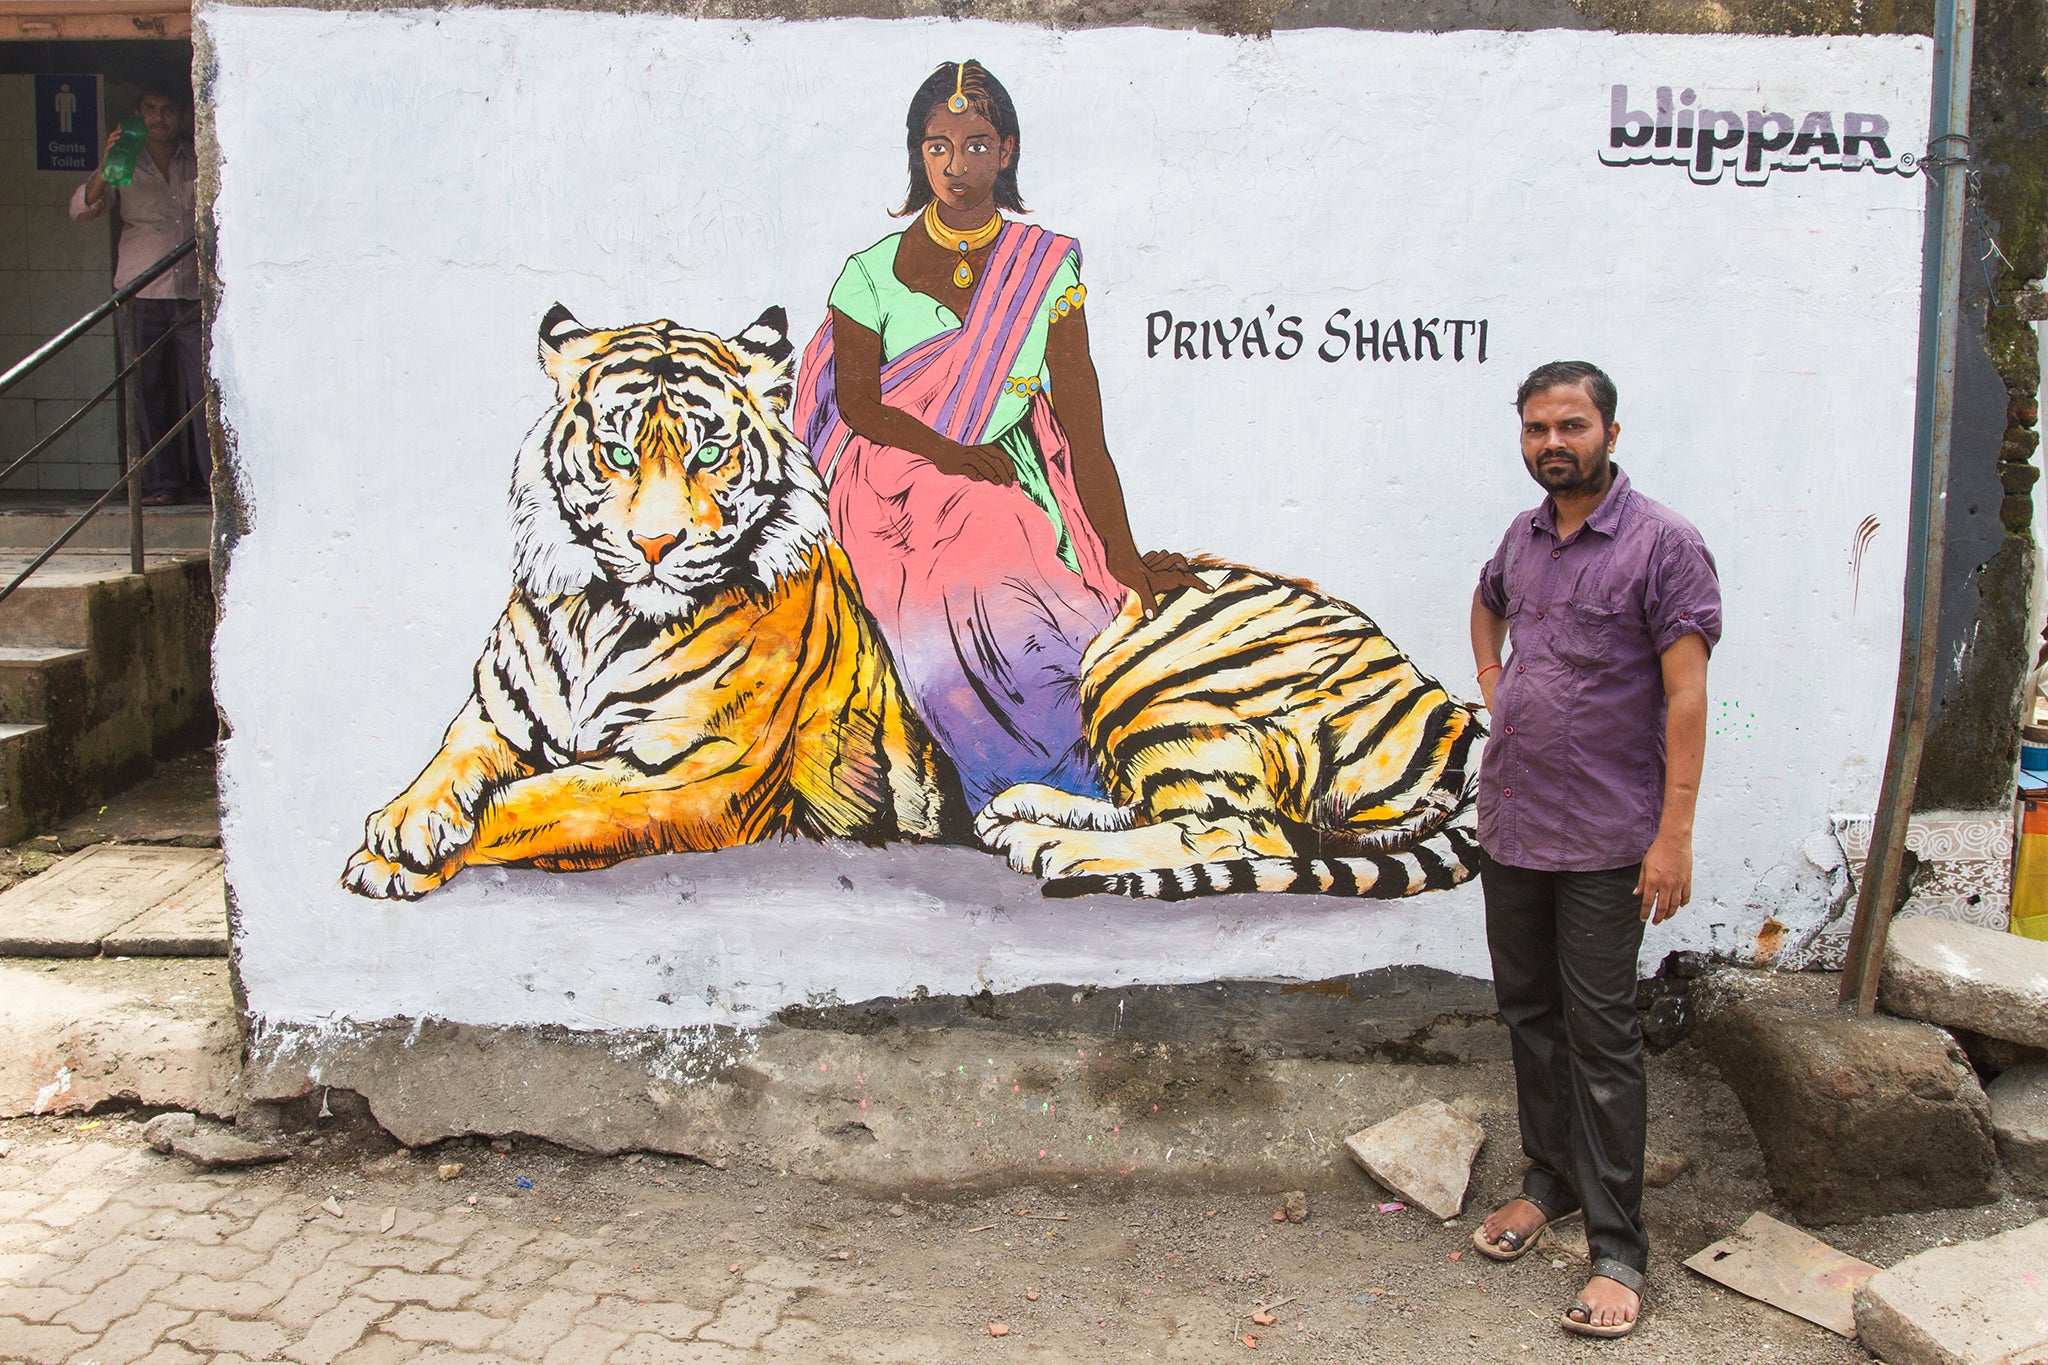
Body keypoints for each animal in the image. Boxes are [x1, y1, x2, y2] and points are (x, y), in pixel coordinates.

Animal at [339, 304, 962, 900]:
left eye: (708, 453)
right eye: (617, 454)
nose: (655, 543)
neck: (598, 618)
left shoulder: (705, 769)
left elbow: (535, 799)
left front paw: (391, 860)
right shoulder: (501, 712)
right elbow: (452, 756)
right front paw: (403, 821)